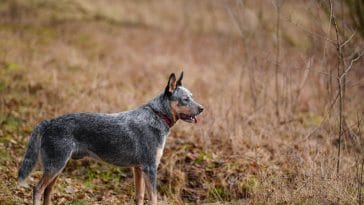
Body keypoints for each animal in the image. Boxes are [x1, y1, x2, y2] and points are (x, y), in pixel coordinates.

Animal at [18, 72, 203, 205]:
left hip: (57, 167)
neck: (157, 115)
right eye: (185, 99)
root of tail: (49, 122)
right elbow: (154, 199)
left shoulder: (138, 169)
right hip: (55, 166)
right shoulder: (150, 168)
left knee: (47, 192)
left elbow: (140, 197)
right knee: (37, 189)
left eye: (192, 96)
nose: (202, 108)